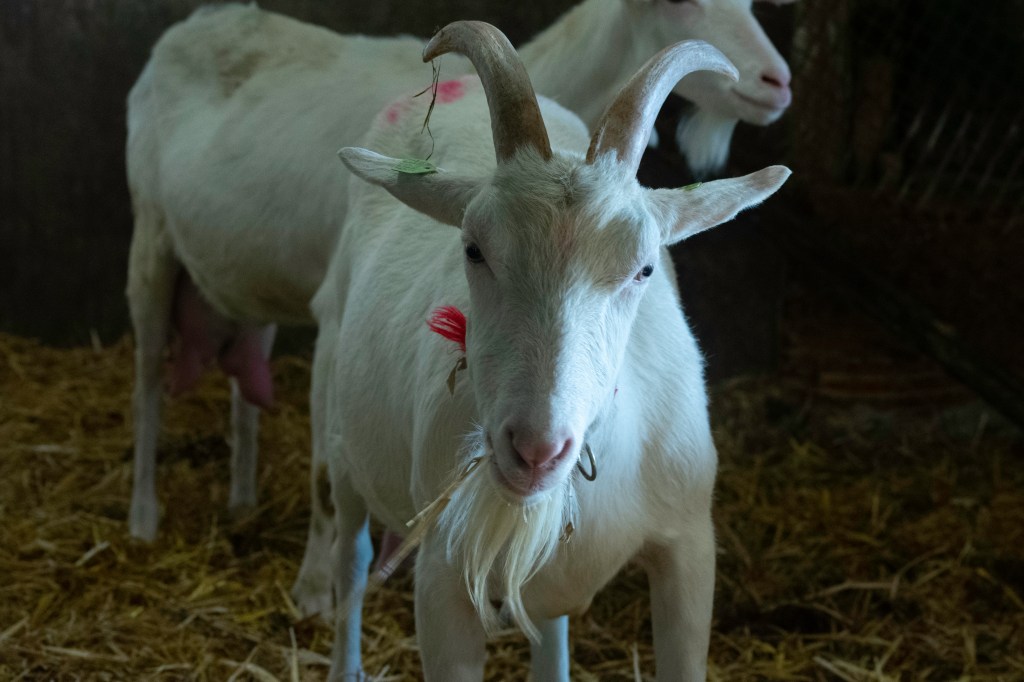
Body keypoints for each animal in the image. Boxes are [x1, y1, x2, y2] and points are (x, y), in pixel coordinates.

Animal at [125, 0, 791, 558]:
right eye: (677, 4)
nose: (776, 82)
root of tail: (194, 23)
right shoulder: (330, 312)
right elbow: (325, 469)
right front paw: (314, 590)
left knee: (245, 366)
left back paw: (241, 499)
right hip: (150, 236)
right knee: (148, 376)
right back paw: (143, 518)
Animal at [312, 20, 789, 681]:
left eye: (645, 269)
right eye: (473, 248)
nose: (536, 450)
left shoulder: (690, 548)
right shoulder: (441, 579)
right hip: (340, 427)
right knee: (351, 556)